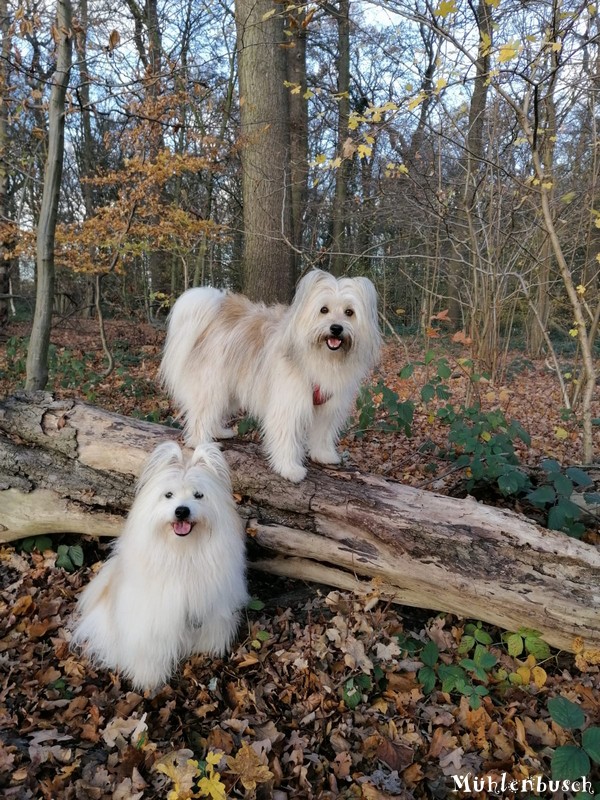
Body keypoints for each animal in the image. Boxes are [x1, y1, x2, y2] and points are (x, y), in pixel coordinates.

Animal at [69, 440, 247, 692]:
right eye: (168, 495)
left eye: (199, 495)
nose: (181, 510)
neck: (183, 551)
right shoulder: (153, 615)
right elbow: (150, 649)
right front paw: (149, 680)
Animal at [159, 268, 380, 482]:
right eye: (323, 310)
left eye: (349, 312)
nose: (336, 328)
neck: (324, 358)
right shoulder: (288, 404)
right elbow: (287, 437)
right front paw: (289, 469)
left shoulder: (329, 406)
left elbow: (323, 433)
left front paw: (324, 454)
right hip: (212, 384)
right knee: (201, 414)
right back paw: (200, 441)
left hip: (230, 390)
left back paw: (218, 431)